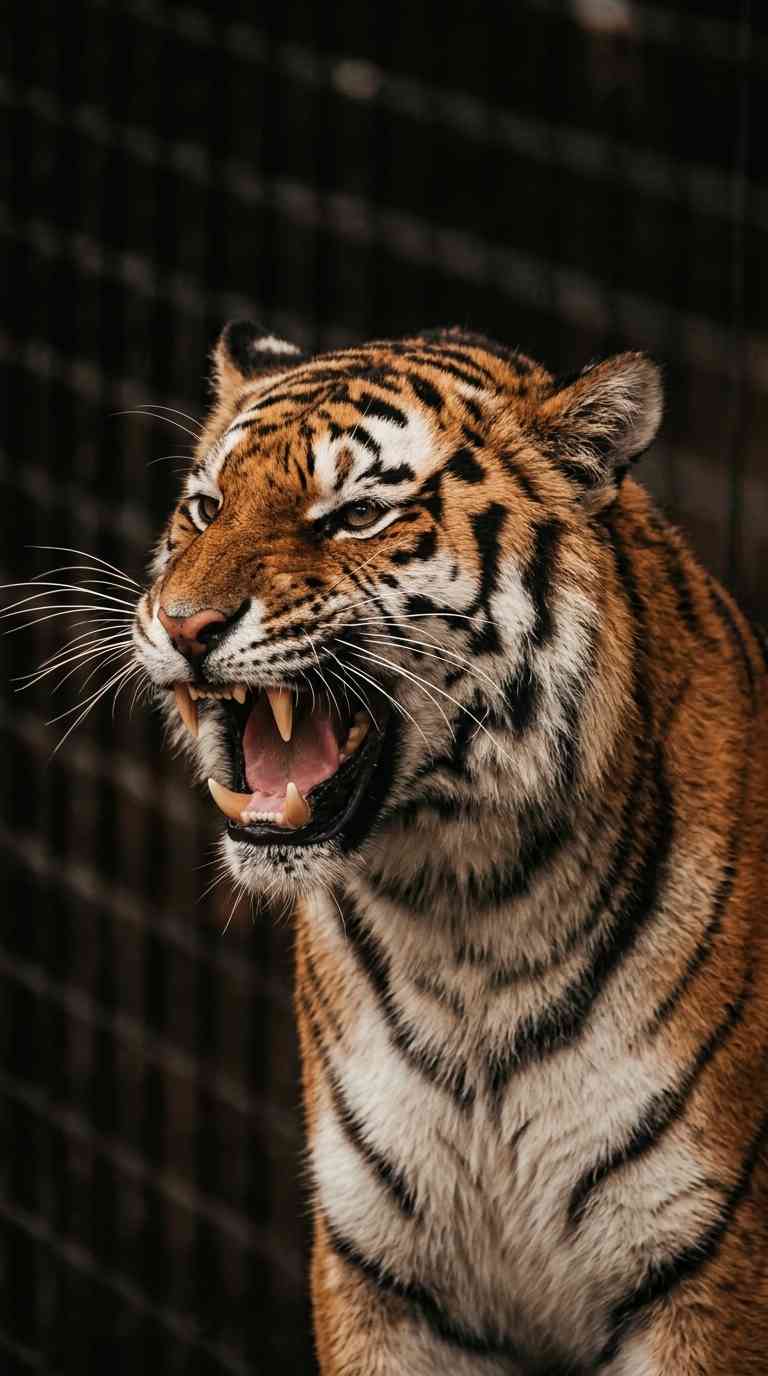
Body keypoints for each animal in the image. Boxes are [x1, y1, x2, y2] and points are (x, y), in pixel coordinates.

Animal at [131, 320, 768, 1375]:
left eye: (355, 515)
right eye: (205, 507)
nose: (182, 626)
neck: (462, 915)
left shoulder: (706, 1267)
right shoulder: (381, 1271)